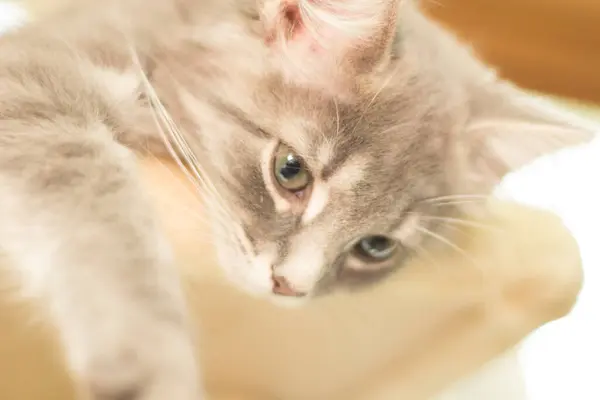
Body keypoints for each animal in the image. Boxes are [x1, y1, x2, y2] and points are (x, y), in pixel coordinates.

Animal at [1, 0, 596, 398]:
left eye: (376, 246)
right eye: (291, 172)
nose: (289, 287)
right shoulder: (33, 79)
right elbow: (103, 217)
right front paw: (145, 357)